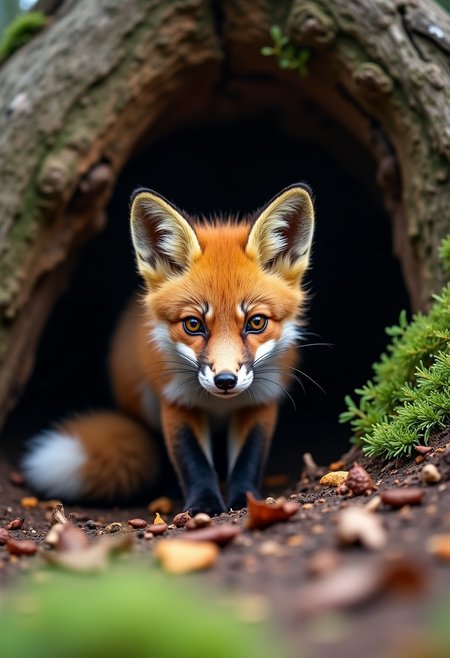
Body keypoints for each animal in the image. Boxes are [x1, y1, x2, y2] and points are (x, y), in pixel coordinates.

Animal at [22, 183, 315, 515]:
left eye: (256, 322)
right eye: (193, 324)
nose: (225, 381)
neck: (219, 404)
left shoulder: (262, 399)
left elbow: (248, 460)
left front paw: (244, 501)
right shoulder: (175, 400)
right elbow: (193, 461)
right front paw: (204, 506)